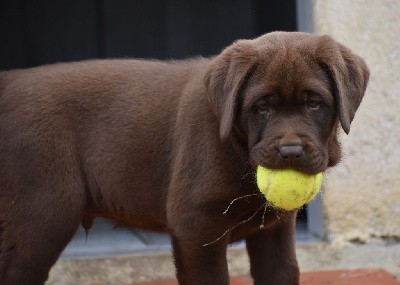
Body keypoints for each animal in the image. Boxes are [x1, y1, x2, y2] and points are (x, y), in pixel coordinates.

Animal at [0, 32, 368, 282]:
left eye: (314, 104)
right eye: (261, 107)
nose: (290, 151)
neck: (239, 151)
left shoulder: (273, 232)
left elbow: (282, 272)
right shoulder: (195, 227)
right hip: (43, 214)